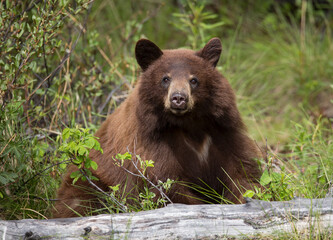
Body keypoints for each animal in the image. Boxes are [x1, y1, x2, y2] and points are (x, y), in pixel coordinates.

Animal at [53, 37, 262, 218]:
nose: (178, 98)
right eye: (165, 79)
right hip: (88, 180)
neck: (189, 124)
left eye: (194, 80)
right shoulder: (149, 143)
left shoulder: (223, 132)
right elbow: (165, 184)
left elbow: (241, 172)